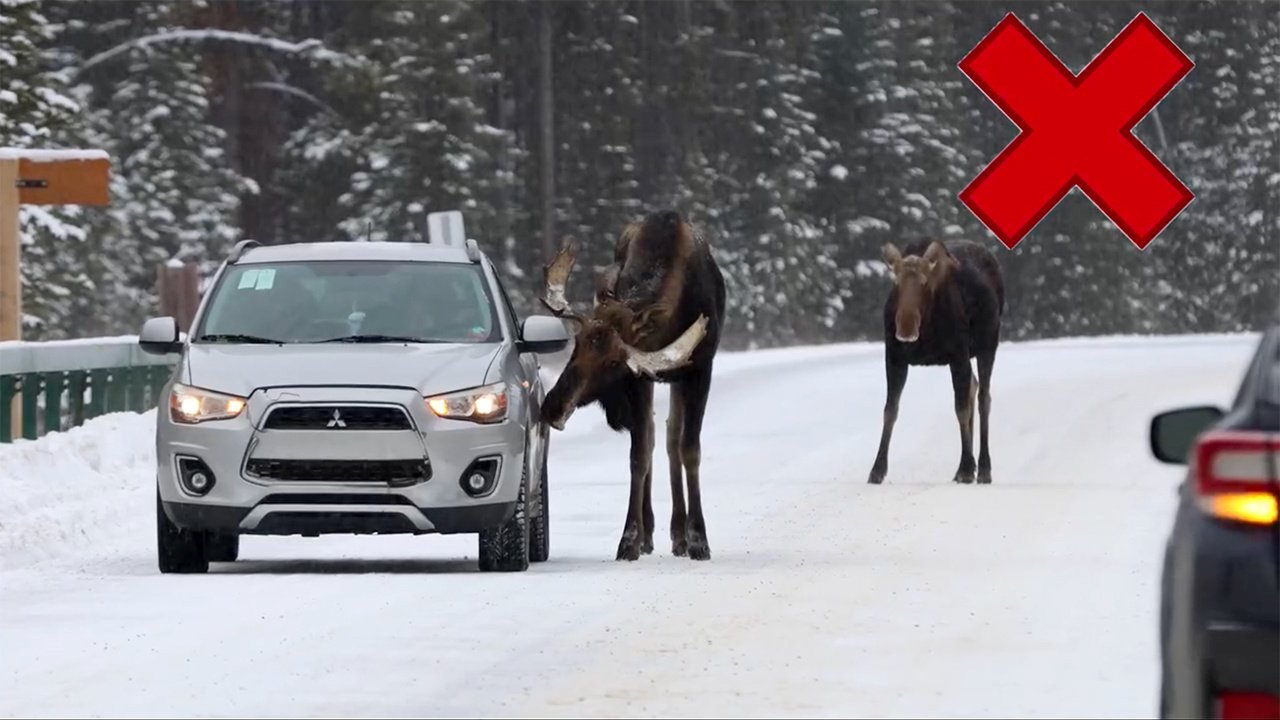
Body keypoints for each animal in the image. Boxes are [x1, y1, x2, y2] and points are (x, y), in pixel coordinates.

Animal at [535, 207, 727, 561]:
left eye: (613, 362)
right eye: (576, 343)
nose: (553, 405)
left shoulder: (699, 369)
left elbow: (689, 449)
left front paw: (699, 538)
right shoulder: (638, 379)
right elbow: (639, 454)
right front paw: (630, 538)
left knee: (671, 439)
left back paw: (680, 535)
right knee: (653, 438)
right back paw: (653, 534)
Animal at [865, 239, 1003, 481]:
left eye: (924, 282)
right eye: (896, 281)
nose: (906, 328)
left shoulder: (958, 356)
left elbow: (960, 409)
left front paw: (966, 467)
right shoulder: (895, 358)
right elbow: (890, 410)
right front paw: (877, 470)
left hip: (988, 346)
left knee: (984, 398)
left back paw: (984, 468)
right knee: (974, 386)